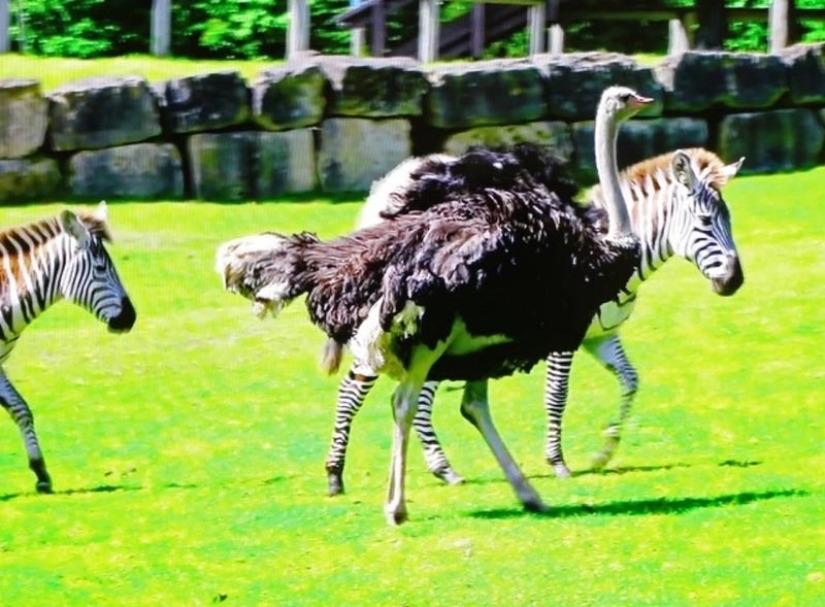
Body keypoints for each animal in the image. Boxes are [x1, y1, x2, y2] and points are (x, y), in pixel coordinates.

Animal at [323, 147, 744, 495]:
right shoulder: (564, 341)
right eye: (705, 221)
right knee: (355, 389)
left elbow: (630, 380)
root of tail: (390, 186)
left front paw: (604, 452)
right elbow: (557, 395)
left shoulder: (601, 336)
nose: (734, 281)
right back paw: (350, 473)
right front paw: (558, 462)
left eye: (729, 219)